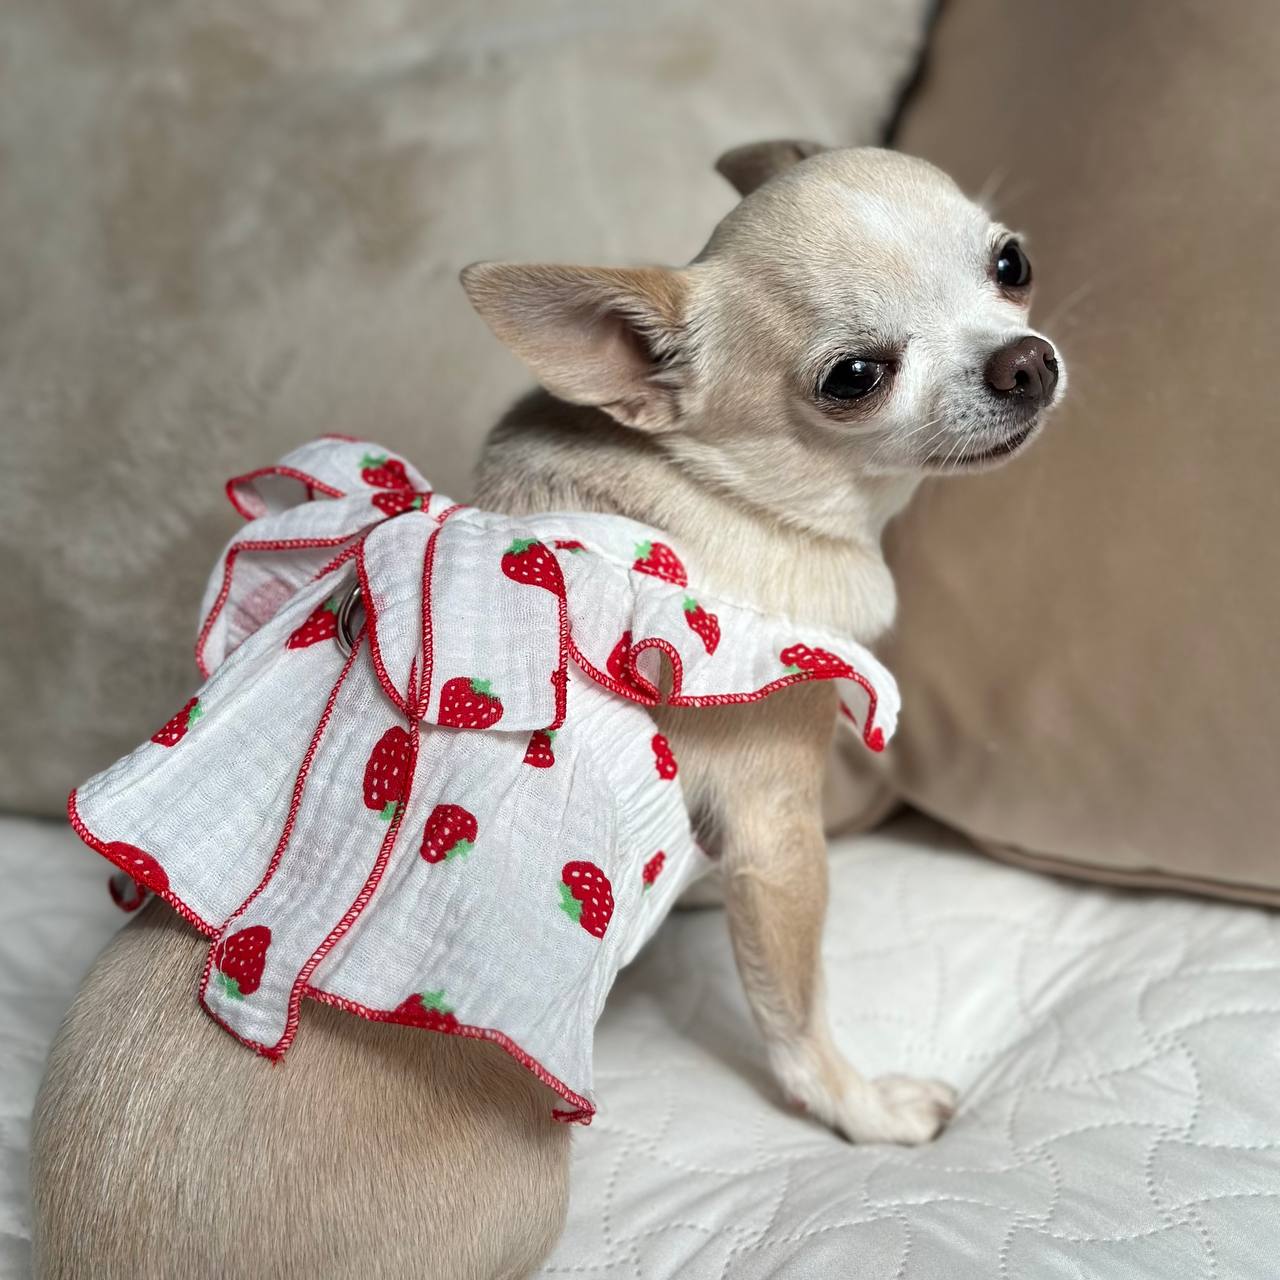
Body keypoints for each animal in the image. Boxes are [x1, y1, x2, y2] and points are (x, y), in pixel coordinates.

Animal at [35, 142, 1064, 1280]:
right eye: (853, 378)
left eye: (1010, 264)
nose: (1024, 361)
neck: (716, 492)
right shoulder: (780, 832)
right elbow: (795, 1011)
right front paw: (866, 1108)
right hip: (527, 1188)